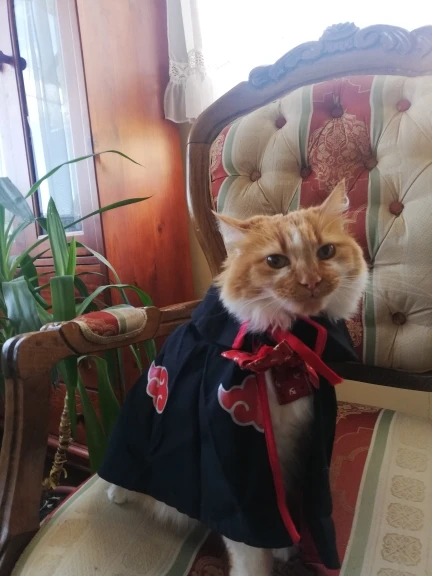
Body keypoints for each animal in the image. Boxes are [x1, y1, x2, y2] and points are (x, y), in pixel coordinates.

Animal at [105, 180, 367, 576]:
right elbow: (250, 551)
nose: (311, 282)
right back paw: (117, 493)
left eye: (326, 252)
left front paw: (285, 550)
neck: (281, 347)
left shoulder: (295, 451)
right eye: (276, 261)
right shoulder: (239, 477)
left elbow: (282, 519)